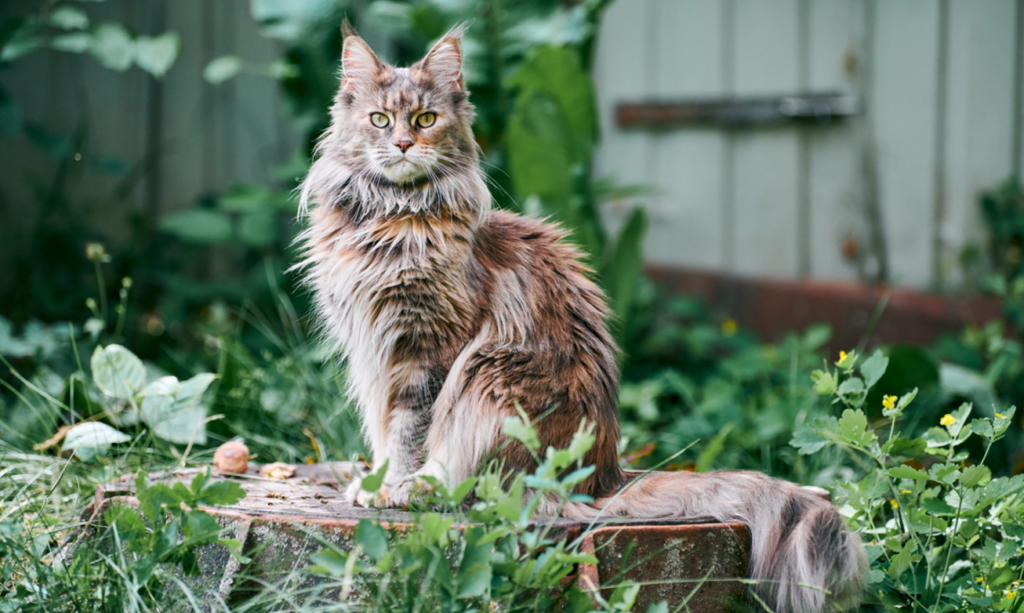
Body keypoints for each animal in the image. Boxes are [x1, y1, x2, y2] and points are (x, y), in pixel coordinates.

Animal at [299, 25, 868, 613]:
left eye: (426, 119)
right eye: (380, 120)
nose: (404, 144)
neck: (390, 219)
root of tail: (603, 478)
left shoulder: (427, 351)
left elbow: (410, 432)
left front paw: (395, 488)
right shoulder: (373, 352)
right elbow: (385, 433)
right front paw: (373, 482)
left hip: (486, 376)